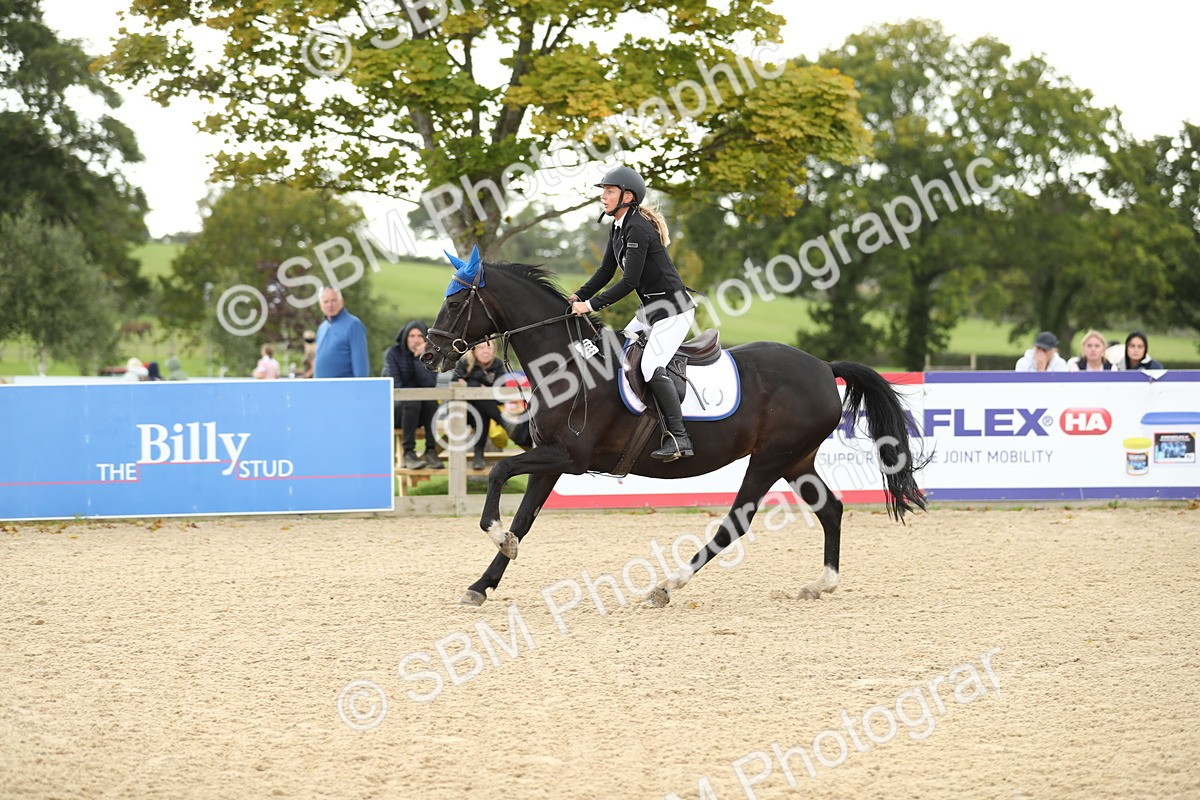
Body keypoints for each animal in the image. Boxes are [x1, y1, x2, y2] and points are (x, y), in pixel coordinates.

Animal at [421, 254, 926, 608]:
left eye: (455, 302)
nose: (429, 355)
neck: (569, 365)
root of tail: (824, 367)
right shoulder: (551, 461)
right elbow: (524, 520)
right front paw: (482, 583)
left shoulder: (569, 458)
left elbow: (497, 473)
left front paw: (495, 535)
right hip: (795, 460)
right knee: (831, 509)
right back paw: (821, 583)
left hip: (770, 459)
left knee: (736, 522)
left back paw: (667, 586)